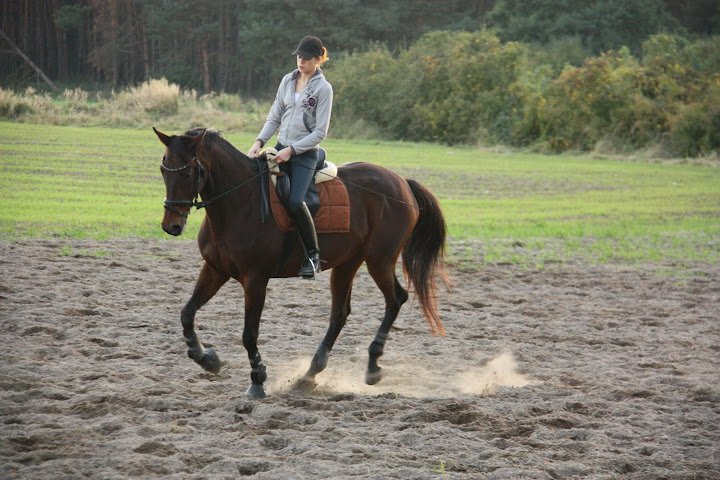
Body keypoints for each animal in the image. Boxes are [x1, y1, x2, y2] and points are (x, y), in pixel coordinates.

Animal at [153, 127, 448, 398]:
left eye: (187, 173)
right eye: (163, 170)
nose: (171, 226)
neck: (239, 202)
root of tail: (402, 183)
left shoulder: (255, 279)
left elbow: (249, 334)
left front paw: (257, 380)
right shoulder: (215, 270)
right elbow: (187, 313)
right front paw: (206, 358)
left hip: (380, 259)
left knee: (396, 298)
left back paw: (373, 365)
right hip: (348, 262)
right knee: (340, 313)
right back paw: (310, 373)